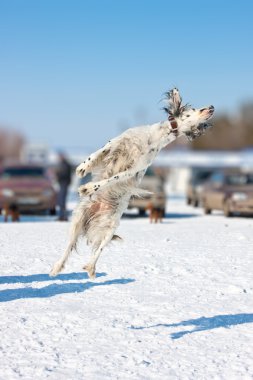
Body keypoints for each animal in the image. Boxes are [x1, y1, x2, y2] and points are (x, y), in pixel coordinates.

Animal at [49, 89, 213, 280]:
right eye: (196, 109)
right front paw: (82, 168)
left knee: (98, 250)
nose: (212, 107)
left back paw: (91, 268)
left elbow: (110, 179)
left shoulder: (133, 169)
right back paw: (56, 268)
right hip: (77, 220)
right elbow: (97, 153)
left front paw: (87, 187)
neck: (154, 137)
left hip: (110, 227)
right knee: (68, 247)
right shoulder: (117, 141)